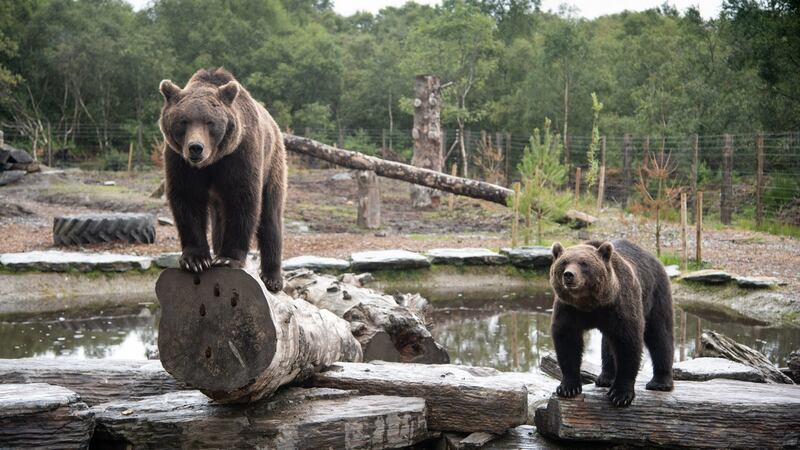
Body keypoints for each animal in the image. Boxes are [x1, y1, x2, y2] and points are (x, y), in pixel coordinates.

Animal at [158, 68, 287, 292]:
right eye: (183, 121)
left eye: (210, 122)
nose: (196, 147)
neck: (212, 161)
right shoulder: (180, 161)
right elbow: (187, 199)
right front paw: (196, 260)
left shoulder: (240, 155)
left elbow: (242, 199)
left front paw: (228, 258)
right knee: (219, 216)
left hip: (273, 162)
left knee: (270, 215)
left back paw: (272, 278)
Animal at [548, 239, 674, 407]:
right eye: (564, 262)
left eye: (583, 263)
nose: (569, 275)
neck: (590, 304)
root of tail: (654, 258)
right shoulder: (568, 309)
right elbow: (567, 341)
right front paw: (568, 388)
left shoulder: (619, 305)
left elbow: (627, 343)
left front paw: (620, 395)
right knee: (608, 344)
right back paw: (605, 378)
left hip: (655, 293)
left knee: (660, 334)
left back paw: (660, 383)